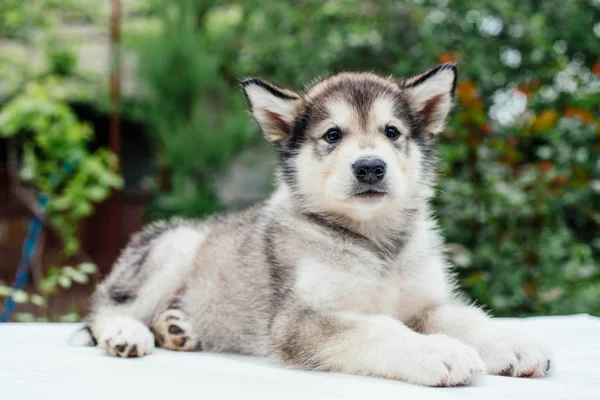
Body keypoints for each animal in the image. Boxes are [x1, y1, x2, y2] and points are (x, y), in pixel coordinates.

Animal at [76, 64, 552, 386]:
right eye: (332, 135)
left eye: (392, 131)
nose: (370, 167)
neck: (376, 243)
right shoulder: (301, 319)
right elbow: (378, 327)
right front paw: (435, 350)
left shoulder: (426, 302)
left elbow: (465, 317)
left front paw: (511, 343)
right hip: (174, 246)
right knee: (103, 308)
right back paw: (128, 333)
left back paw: (178, 328)